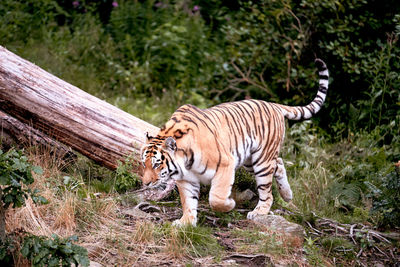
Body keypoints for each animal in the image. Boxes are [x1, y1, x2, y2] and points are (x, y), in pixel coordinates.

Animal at [140, 58, 328, 226]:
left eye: (157, 164)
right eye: (144, 164)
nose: (146, 183)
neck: (185, 161)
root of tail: (273, 104)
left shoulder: (225, 164)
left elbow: (216, 197)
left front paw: (230, 204)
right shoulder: (186, 179)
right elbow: (188, 201)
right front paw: (186, 222)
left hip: (261, 161)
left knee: (267, 192)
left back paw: (259, 211)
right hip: (250, 161)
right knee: (280, 163)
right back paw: (287, 195)